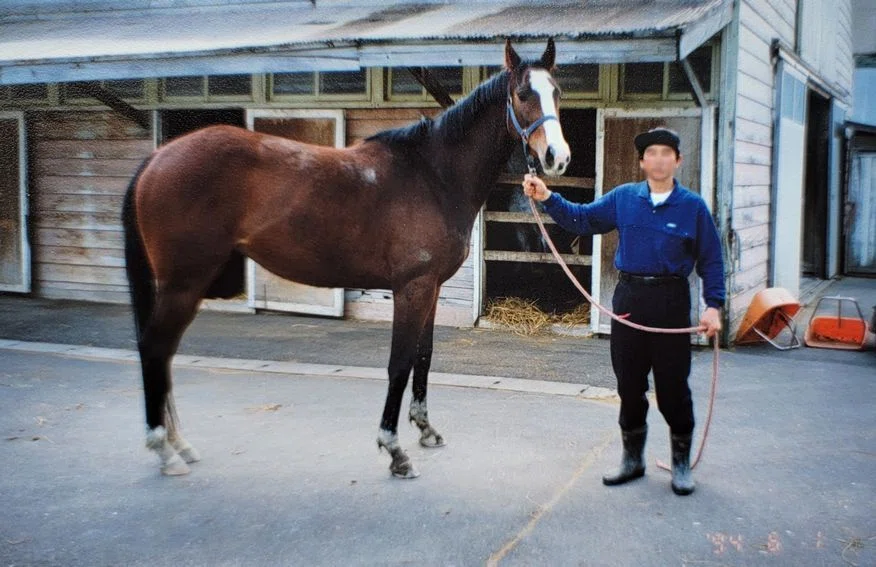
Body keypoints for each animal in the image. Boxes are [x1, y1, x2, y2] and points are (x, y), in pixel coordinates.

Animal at [122, 39, 571, 478]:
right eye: (523, 93)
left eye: (557, 92)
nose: (557, 157)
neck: (433, 176)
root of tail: (158, 158)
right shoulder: (412, 288)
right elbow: (400, 364)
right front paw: (394, 450)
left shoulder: (431, 289)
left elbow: (423, 359)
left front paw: (426, 430)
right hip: (183, 283)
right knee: (155, 348)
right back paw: (165, 449)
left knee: (164, 352)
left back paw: (178, 444)